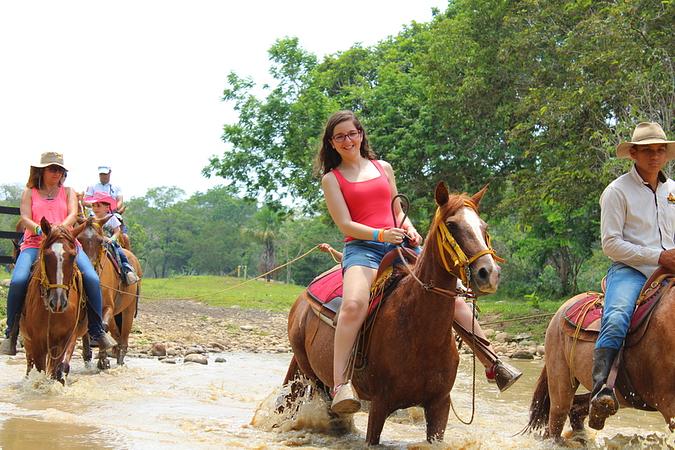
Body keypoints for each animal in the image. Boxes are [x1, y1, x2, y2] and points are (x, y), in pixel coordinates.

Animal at [284, 182, 502, 442]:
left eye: (484, 227)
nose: (488, 273)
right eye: (452, 225)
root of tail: (301, 302)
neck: (419, 331)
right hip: (313, 374)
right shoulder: (380, 404)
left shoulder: (440, 404)